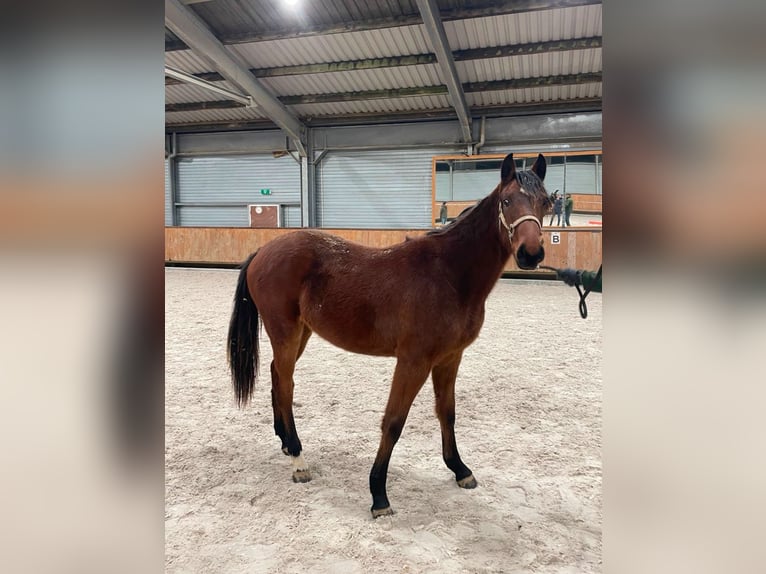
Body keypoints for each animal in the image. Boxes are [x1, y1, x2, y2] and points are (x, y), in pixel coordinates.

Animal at [228, 152, 552, 516]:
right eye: (507, 201)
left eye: (545, 202)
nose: (530, 253)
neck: (449, 274)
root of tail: (262, 252)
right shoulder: (413, 362)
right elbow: (394, 421)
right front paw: (378, 494)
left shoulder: (449, 359)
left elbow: (448, 413)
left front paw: (460, 469)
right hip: (285, 333)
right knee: (285, 385)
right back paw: (298, 459)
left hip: (301, 334)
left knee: (275, 376)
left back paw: (285, 442)